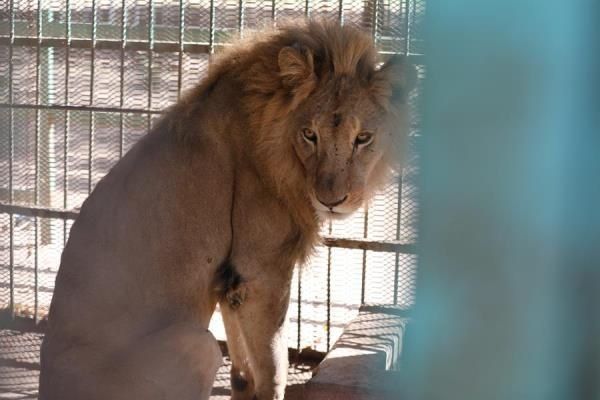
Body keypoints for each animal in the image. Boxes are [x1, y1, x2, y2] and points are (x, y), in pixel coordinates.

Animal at [36, 18, 412, 400]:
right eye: (310, 134)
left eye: (363, 138)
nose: (331, 201)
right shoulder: (260, 270)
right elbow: (273, 362)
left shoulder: (230, 278)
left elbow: (244, 366)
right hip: (197, 345)